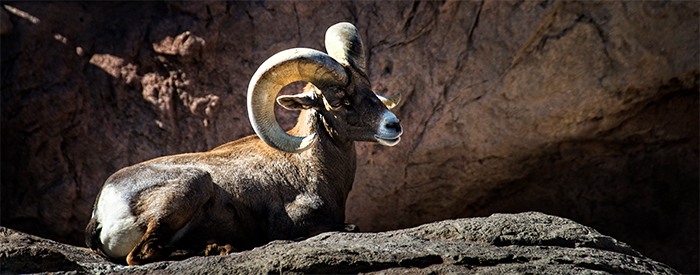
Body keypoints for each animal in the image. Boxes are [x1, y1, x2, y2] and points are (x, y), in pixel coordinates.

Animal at [85, 22, 402, 266]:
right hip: (192, 185)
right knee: (142, 254)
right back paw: (219, 248)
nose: (393, 125)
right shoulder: (296, 221)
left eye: (369, 89)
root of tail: (101, 210)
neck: (311, 166)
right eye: (340, 102)